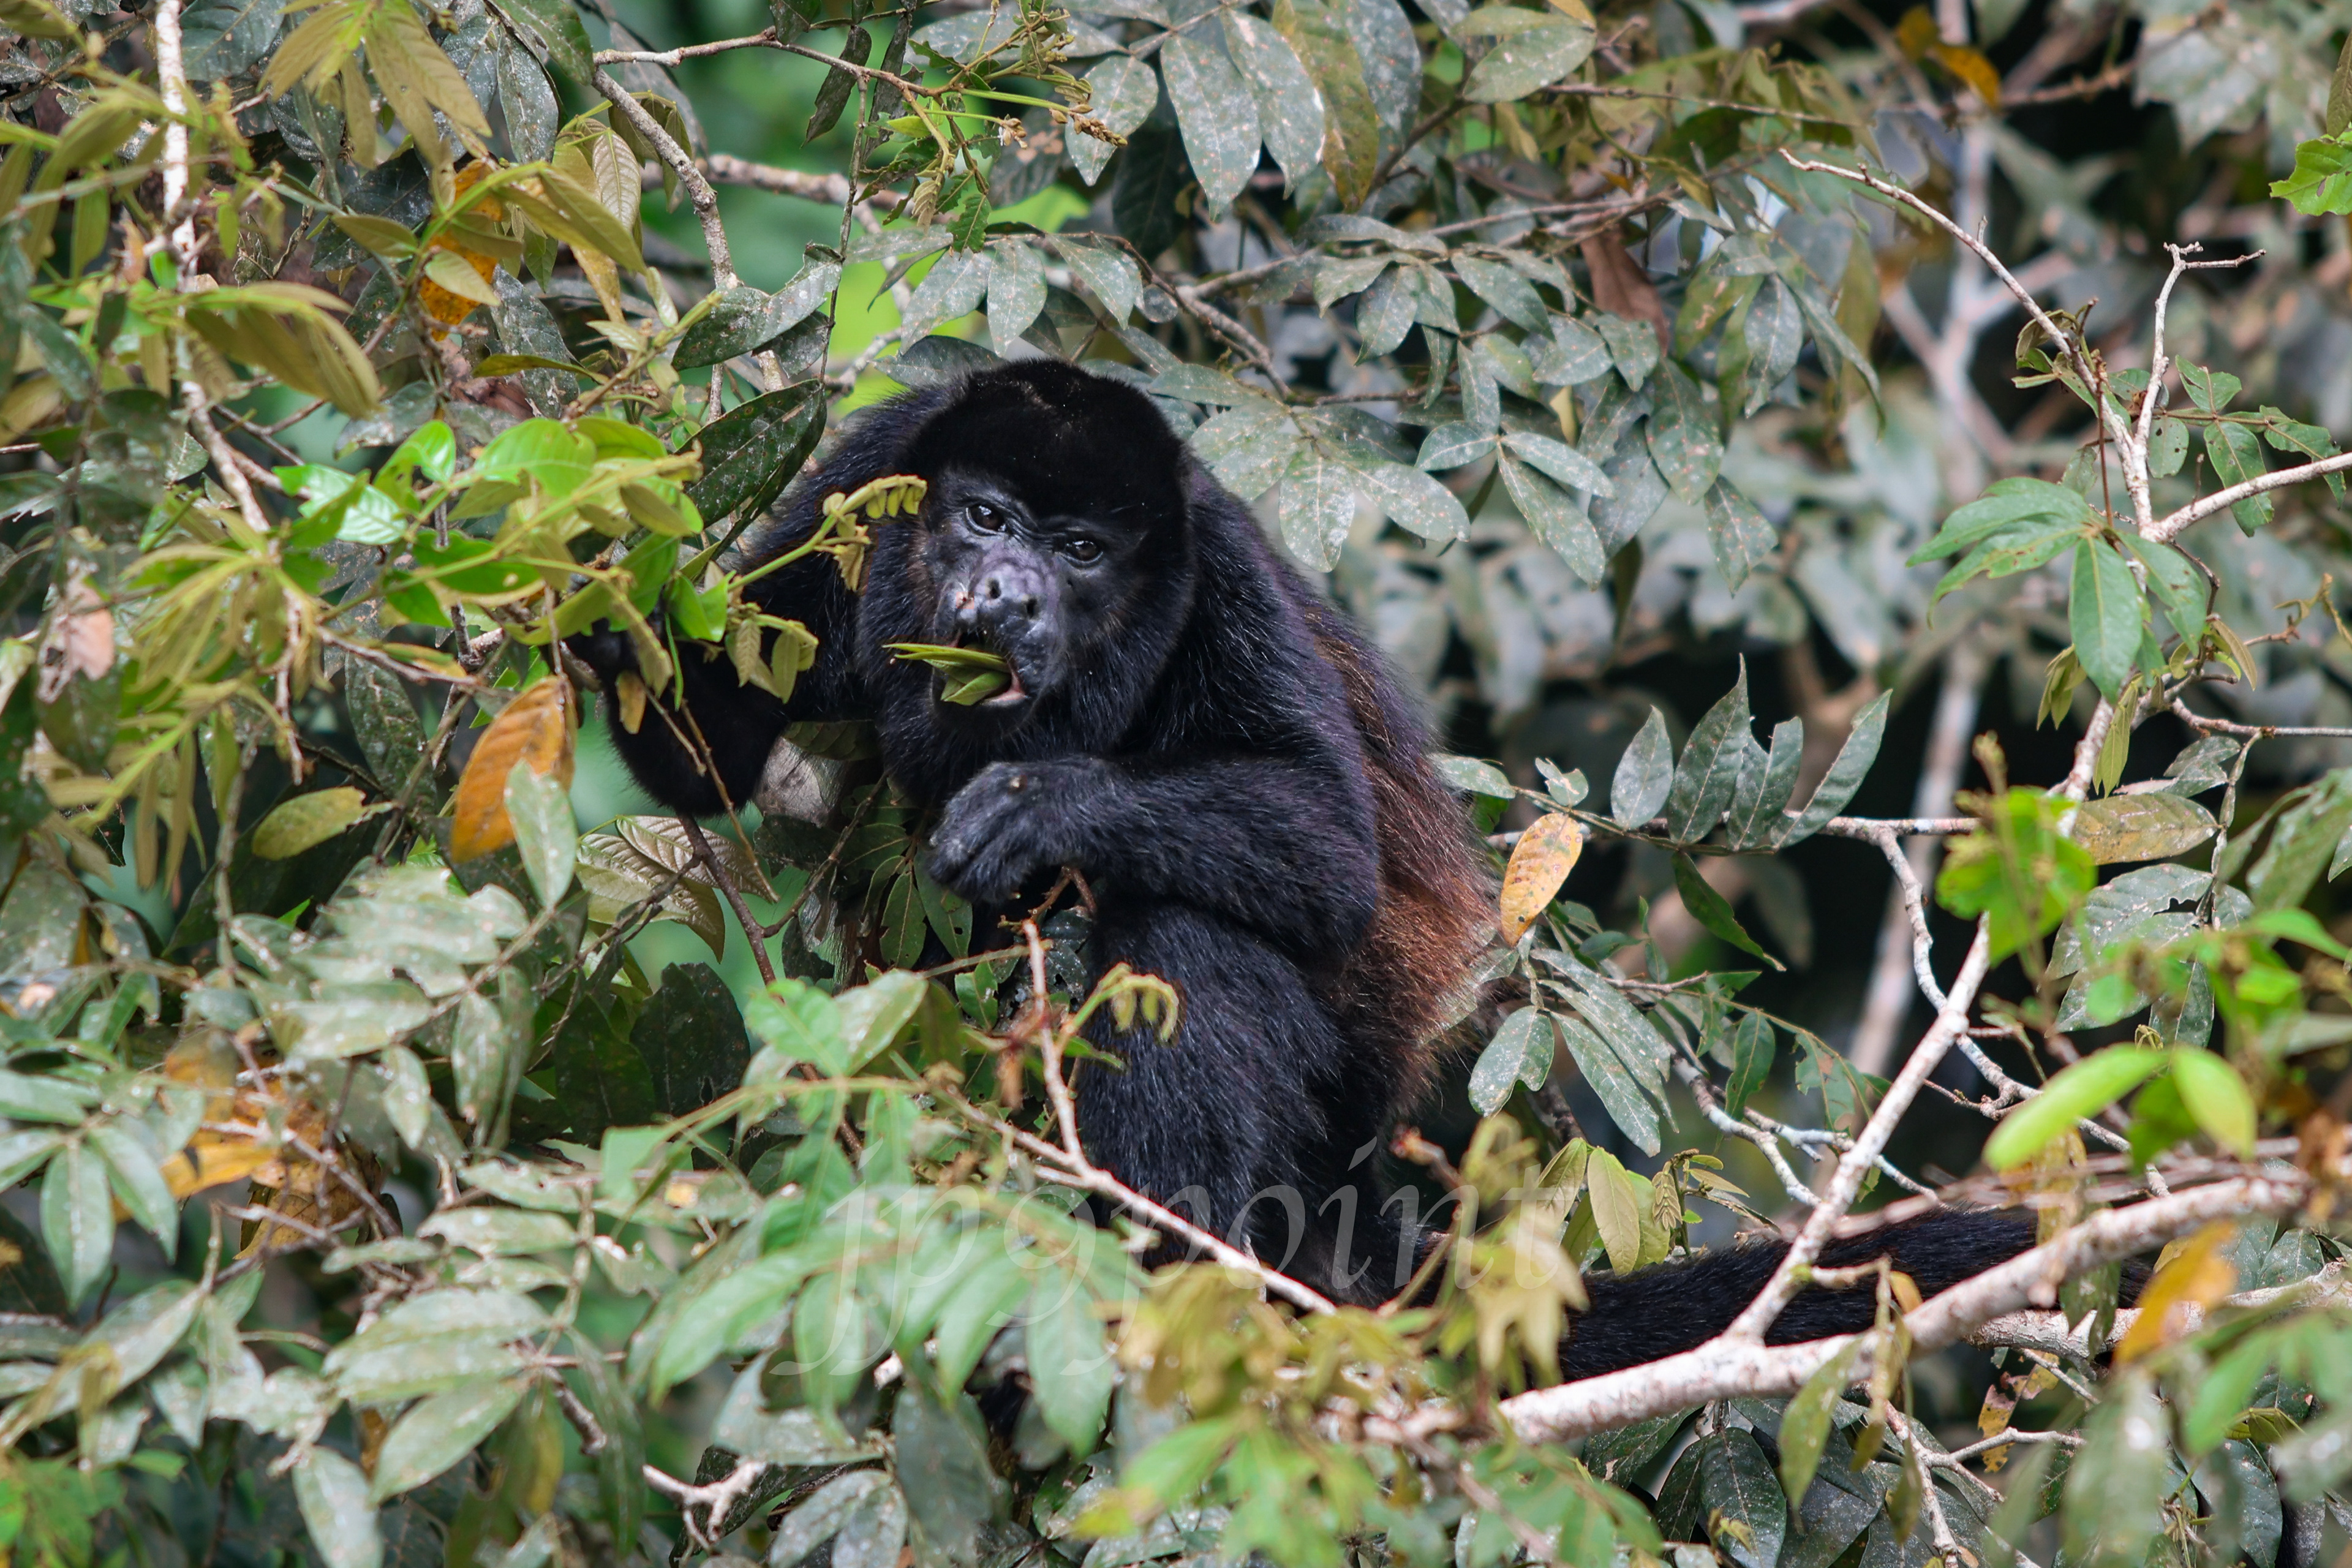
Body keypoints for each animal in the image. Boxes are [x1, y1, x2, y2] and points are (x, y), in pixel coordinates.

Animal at [573, 358, 2107, 1369]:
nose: (1003, 593)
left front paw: (1039, 804)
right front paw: (603, 599)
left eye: (1079, 549)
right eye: (985, 518)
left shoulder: (1221, 578)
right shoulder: (868, 472)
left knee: (1191, 933)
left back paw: (1169, 1251)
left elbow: (1324, 843)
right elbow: (709, 741)